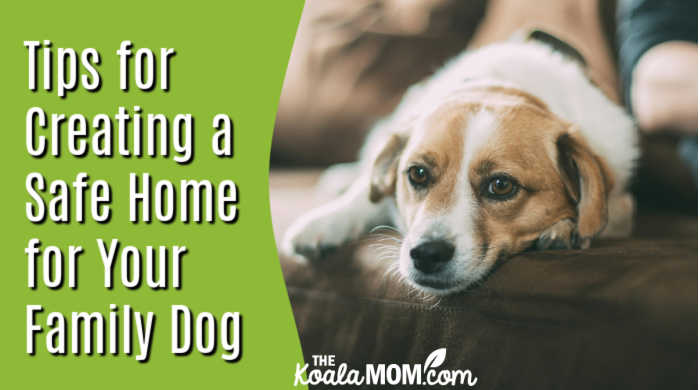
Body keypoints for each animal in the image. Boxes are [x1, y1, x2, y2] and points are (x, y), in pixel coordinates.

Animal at [282, 32, 636, 296]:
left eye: (501, 185)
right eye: (417, 174)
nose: (427, 254)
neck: (502, 86)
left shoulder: (621, 203)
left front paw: (564, 227)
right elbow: (364, 196)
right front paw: (324, 222)